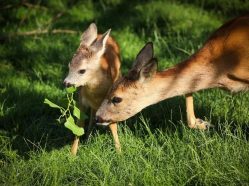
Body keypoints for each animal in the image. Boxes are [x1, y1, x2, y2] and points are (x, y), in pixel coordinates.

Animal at [63, 23, 121, 155]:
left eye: (82, 70)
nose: (66, 83)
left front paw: (119, 151)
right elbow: (79, 124)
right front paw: (72, 153)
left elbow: (113, 125)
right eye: (69, 66)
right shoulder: (81, 100)